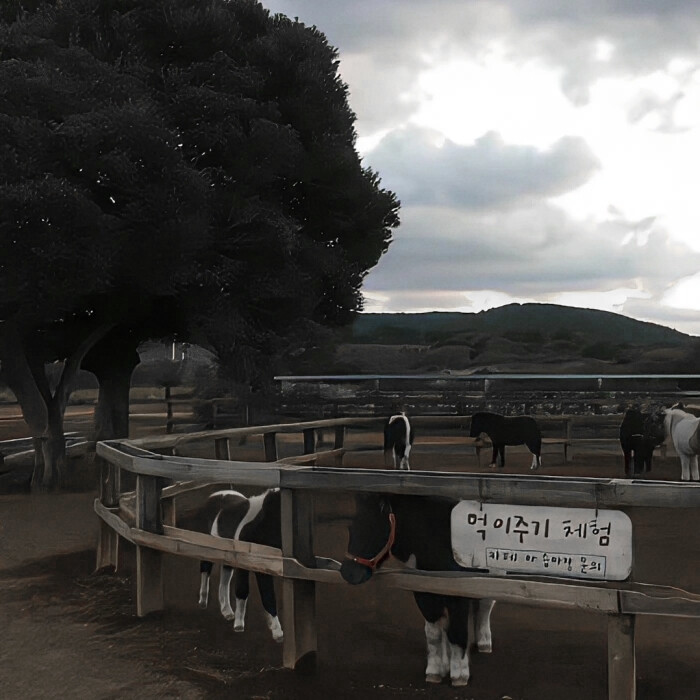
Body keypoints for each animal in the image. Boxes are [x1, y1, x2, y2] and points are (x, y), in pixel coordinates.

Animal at [196, 490, 284, 644]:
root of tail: (215, 495)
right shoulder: (244, 566)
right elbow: (242, 590)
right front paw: (239, 625)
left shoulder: (263, 568)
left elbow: (268, 596)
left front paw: (276, 631)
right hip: (208, 549)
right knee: (205, 569)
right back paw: (203, 602)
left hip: (227, 556)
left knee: (224, 580)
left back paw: (227, 611)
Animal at [338, 494, 492, 688]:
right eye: (350, 528)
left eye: (373, 529)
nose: (348, 573)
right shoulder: (423, 592)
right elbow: (433, 633)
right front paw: (435, 671)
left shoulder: (459, 594)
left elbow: (457, 632)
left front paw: (459, 675)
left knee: (486, 605)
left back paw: (484, 642)